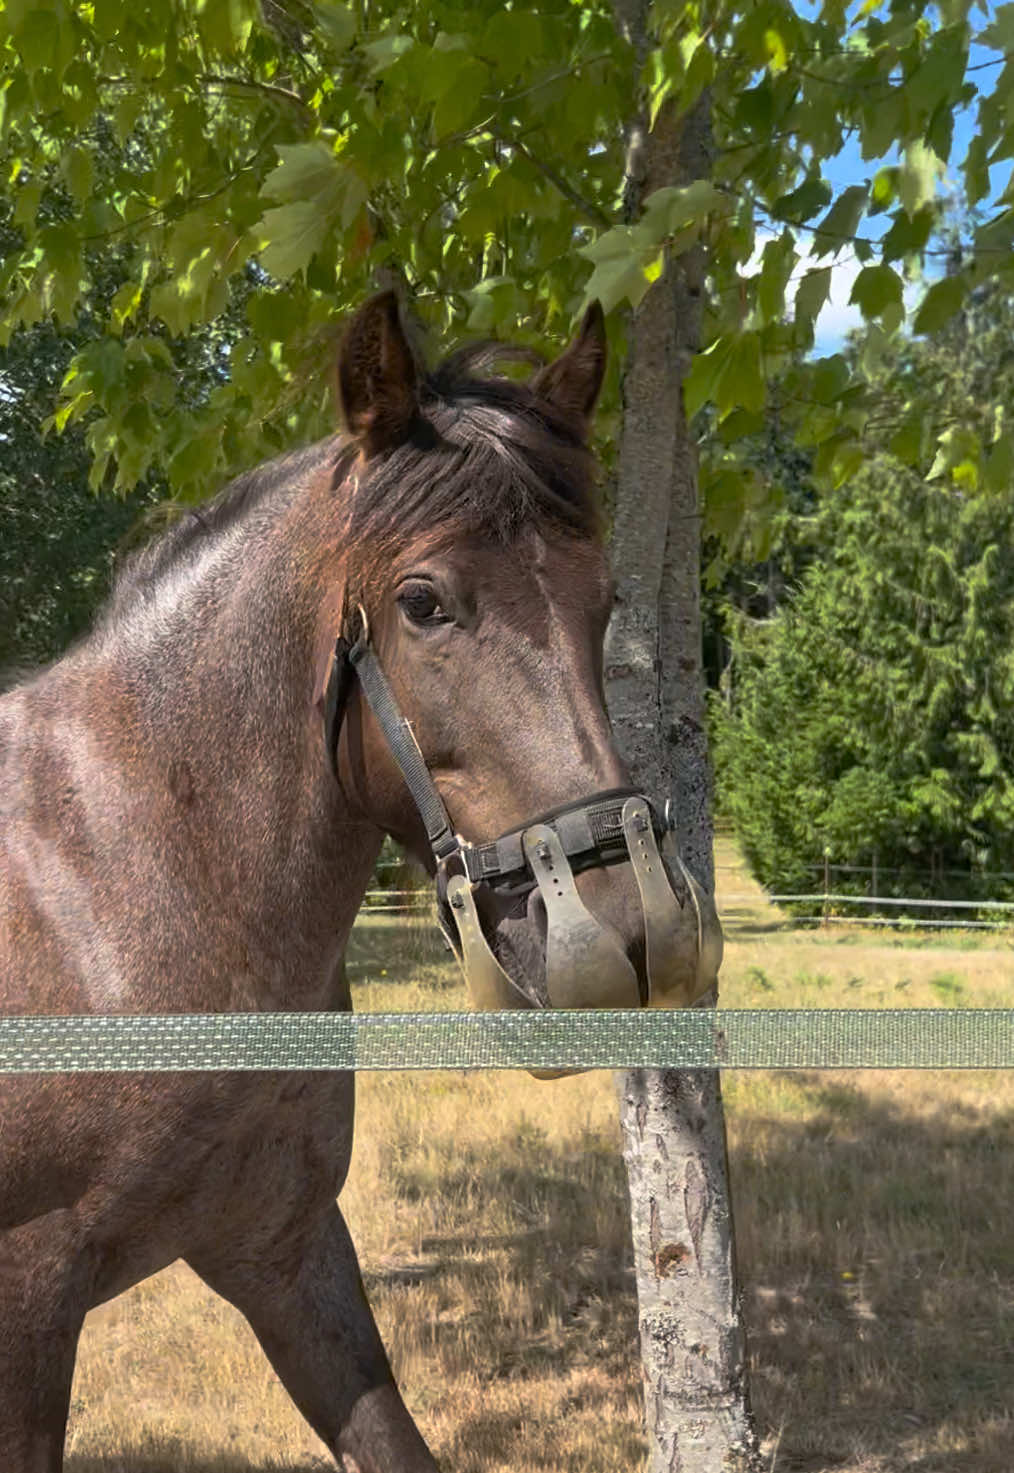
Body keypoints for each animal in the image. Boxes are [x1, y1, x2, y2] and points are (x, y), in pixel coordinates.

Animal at [0, 292, 721, 1472]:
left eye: (604, 599)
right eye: (423, 601)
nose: (632, 939)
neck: (113, 883)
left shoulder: (285, 1248)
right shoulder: (28, 1304)